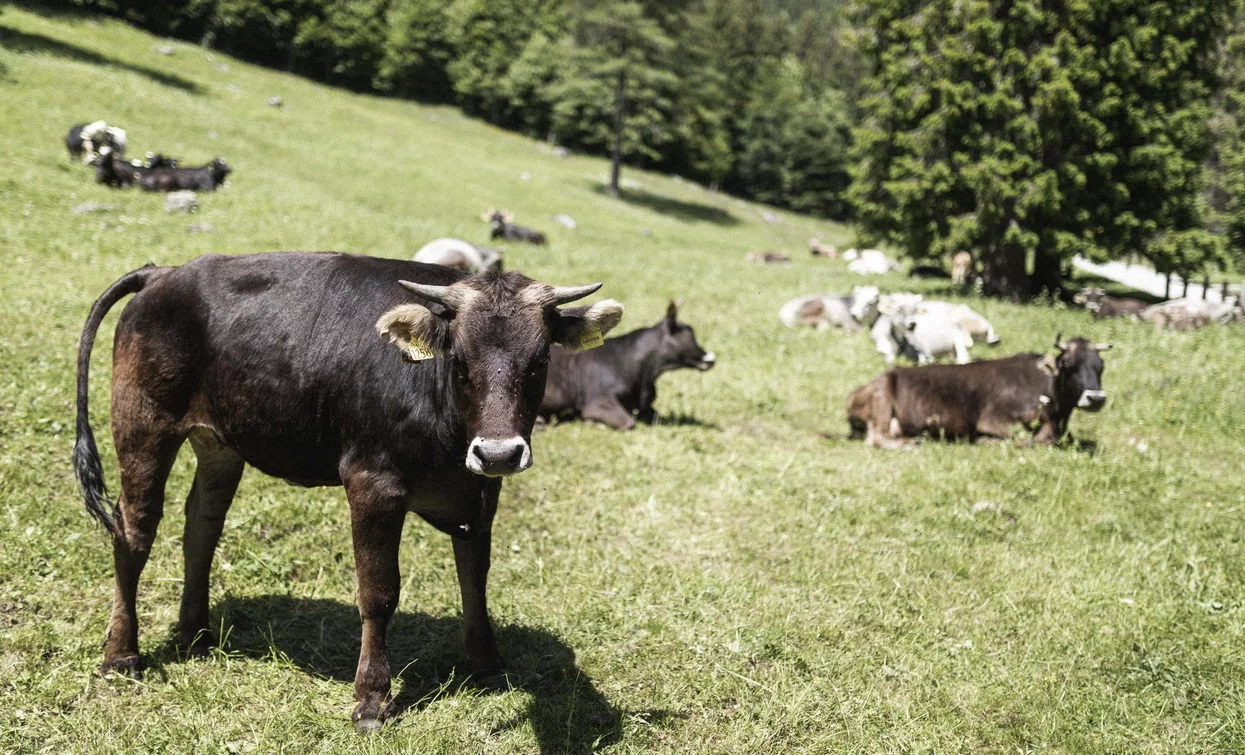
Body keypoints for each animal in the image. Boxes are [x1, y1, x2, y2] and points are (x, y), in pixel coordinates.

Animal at [72, 254, 622, 732]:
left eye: (539, 362)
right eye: (460, 362)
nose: (500, 452)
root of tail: (164, 272)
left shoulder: (478, 492)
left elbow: (475, 577)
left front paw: (486, 663)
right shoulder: (372, 484)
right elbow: (378, 592)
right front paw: (372, 698)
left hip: (219, 443)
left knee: (201, 529)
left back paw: (196, 635)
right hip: (143, 424)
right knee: (134, 531)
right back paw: (122, 654)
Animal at [846, 333, 1110, 448]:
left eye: (1100, 365)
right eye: (1068, 364)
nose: (1096, 397)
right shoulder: (995, 421)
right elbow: (1033, 440)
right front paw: (985, 440)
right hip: (882, 398)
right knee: (876, 438)